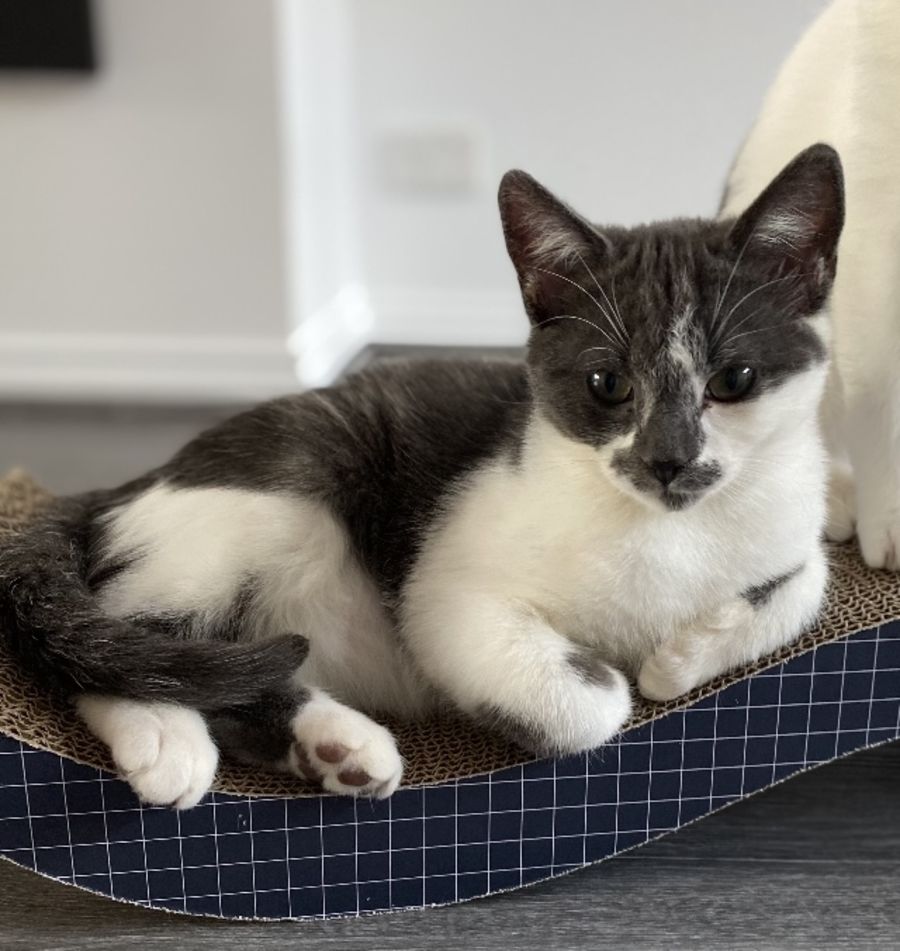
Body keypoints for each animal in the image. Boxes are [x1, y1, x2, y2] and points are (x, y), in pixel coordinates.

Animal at [0, 143, 843, 809]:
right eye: (608, 384)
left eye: (734, 378)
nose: (668, 460)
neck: (673, 530)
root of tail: (139, 479)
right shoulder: (446, 591)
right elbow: (594, 702)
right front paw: (628, 677)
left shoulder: (791, 513)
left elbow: (807, 579)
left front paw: (679, 658)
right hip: (282, 486)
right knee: (120, 637)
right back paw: (167, 736)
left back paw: (336, 747)